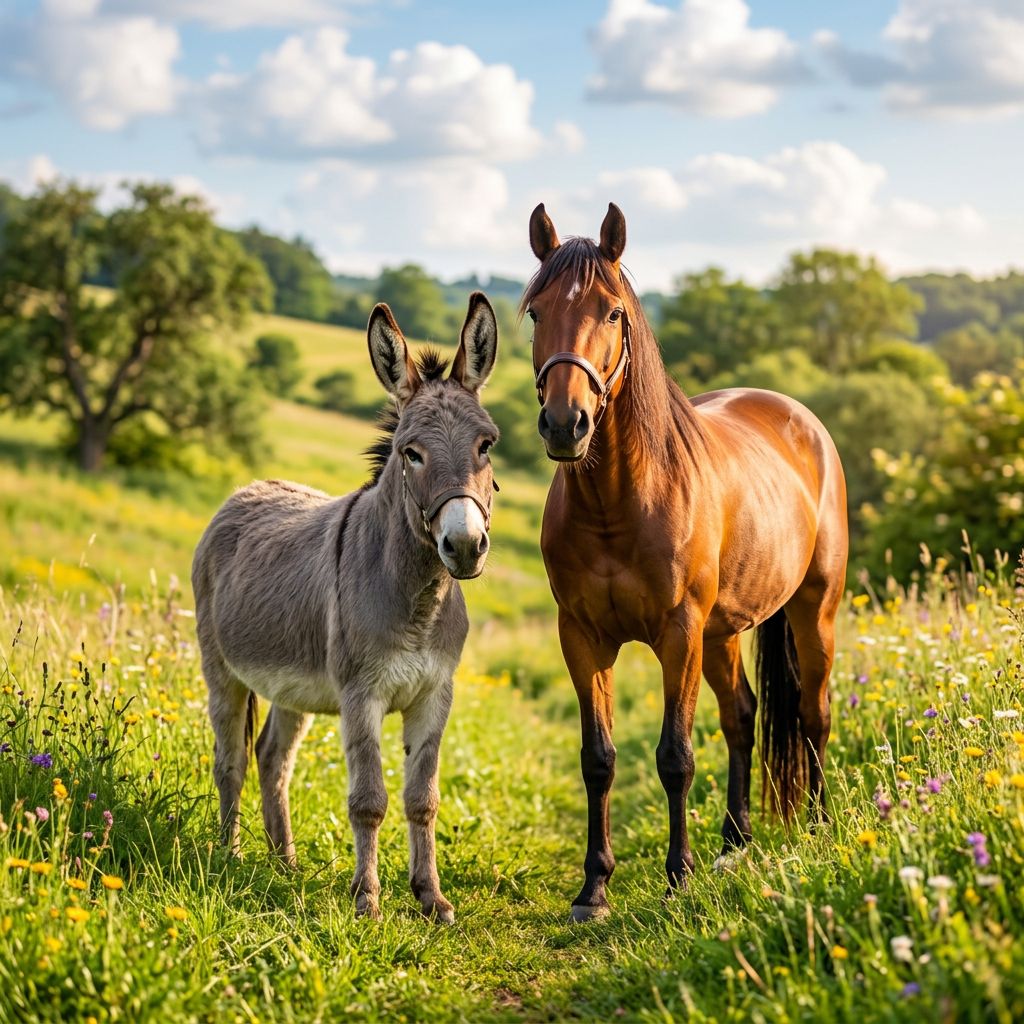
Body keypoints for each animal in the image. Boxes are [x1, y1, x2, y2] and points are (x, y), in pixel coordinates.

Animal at [192, 293, 500, 922]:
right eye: (411, 453)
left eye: (487, 444)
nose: (463, 545)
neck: (418, 602)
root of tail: (246, 489)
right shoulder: (363, 695)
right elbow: (369, 800)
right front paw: (367, 901)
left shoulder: (435, 694)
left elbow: (423, 799)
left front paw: (431, 898)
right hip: (221, 670)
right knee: (230, 759)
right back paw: (230, 856)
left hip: (290, 684)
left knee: (272, 758)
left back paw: (284, 863)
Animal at [522, 203, 848, 921]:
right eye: (534, 312)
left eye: (613, 313)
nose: (565, 423)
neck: (619, 500)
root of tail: (801, 418)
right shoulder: (581, 638)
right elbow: (598, 758)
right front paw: (594, 888)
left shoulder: (678, 633)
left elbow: (675, 755)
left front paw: (678, 877)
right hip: (722, 634)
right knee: (743, 717)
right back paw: (735, 842)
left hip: (812, 612)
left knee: (812, 714)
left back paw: (815, 826)